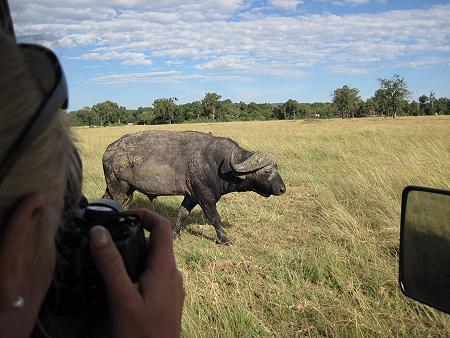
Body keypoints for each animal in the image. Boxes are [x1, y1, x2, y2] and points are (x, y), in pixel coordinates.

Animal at [102, 131, 284, 244]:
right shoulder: (205, 197)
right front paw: (225, 239)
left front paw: (175, 235)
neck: (219, 164)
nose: (282, 189)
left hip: (123, 189)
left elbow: (182, 214)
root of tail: (109, 150)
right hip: (118, 189)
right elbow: (215, 218)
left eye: (277, 168)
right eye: (267, 171)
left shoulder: (191, 197)